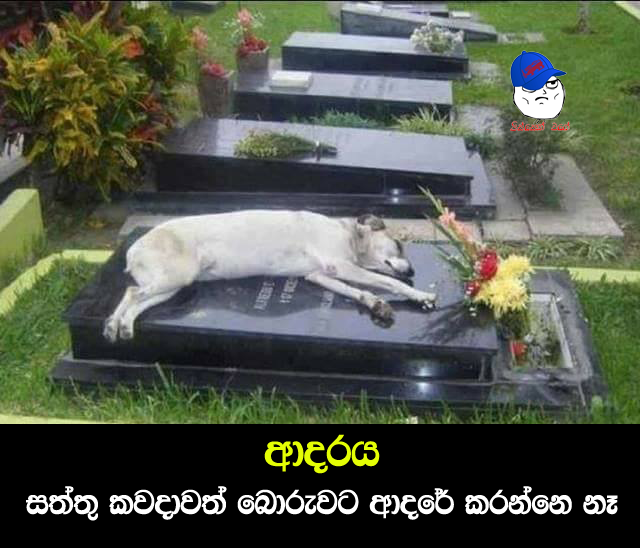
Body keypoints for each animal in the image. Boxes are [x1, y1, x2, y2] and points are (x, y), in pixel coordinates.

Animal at [103, 210, 437, 342]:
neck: (349, 235)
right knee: (131, 293)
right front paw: (420, 295)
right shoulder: (338, 266)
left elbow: (359, 291)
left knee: (135, 300)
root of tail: (132, 249)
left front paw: (376, 305)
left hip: (170, 285)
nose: (414, 271)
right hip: (175, 276)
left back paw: (120, 326)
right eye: (399, 246)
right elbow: (388, 282)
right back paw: (113, 324)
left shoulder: (320, 275)